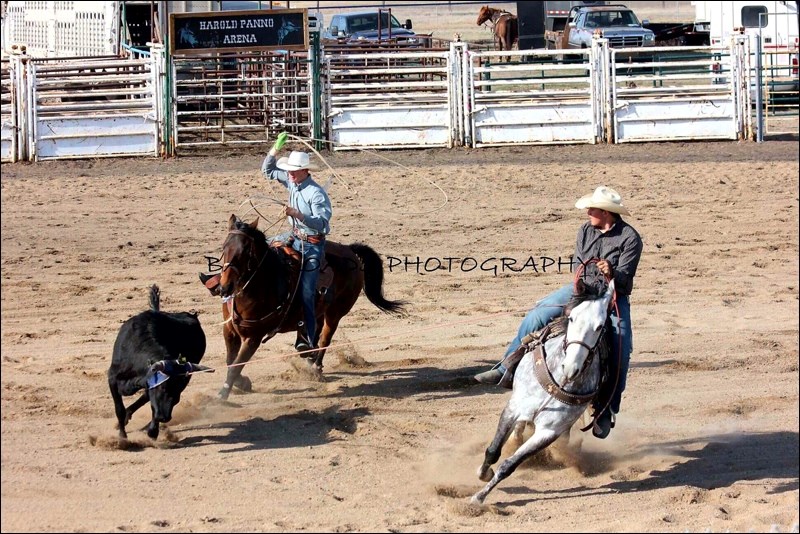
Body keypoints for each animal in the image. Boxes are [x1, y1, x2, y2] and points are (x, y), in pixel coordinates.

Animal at [108, 286, 211, 442]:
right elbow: (119, 408)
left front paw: (152, 431)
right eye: (162, 387)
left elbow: (150, 402)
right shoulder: (113, 378)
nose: (164, 418)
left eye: (177, 391)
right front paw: (122, 436)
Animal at [214, 216, 406, 400]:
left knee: (325, 338)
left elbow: (235, 366)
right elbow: (230, 361)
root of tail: (349, 249)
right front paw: (243, 383)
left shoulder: (254, 337)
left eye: (247, 251)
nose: (225, 288)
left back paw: (315, 366)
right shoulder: (229, 330)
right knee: (315, 328)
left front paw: (222, 395)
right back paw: (306, 352)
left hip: (336, 312)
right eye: (224, 247)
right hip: (318, 310)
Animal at [472, 278, 616, 504]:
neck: (559, 380)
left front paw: (479, 497)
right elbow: (493, 451)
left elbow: (508, 465)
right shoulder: (513, 407)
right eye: (572, 318)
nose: (570, 368)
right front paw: (483, 473)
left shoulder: (549, 431)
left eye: (600, 326)